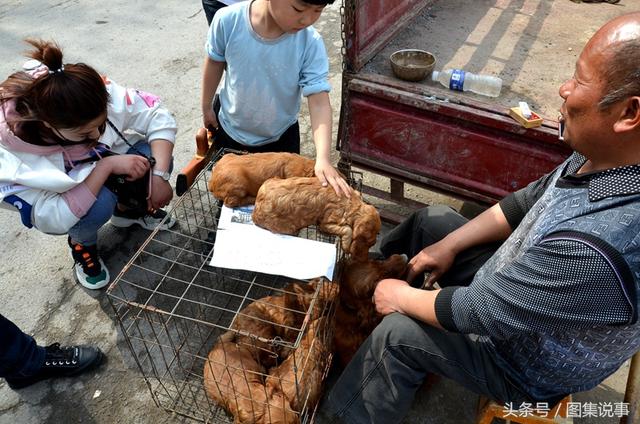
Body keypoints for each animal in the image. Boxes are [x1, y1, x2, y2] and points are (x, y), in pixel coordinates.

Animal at [250, 176, 380, 262]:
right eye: (369, 243)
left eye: (372, 244)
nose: (365, 260)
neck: (352, 204)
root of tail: (255, 211)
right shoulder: (326, 223)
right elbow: (348, 229)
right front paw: (346, 246)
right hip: (288, 227)